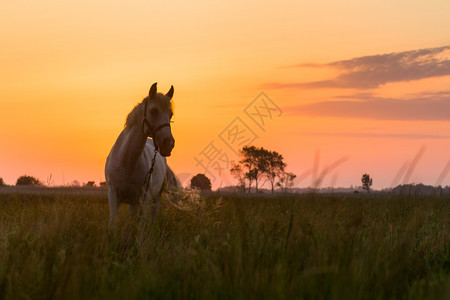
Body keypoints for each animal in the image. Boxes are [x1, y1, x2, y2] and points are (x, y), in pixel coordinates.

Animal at [104, 82, 177, 225]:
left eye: (170, 114)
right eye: (153, 111)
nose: (169, 143)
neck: (127, 162)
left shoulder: (144, 197)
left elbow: (141, 224)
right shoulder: (113, 195)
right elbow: (113, 222)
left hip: (154, 198)